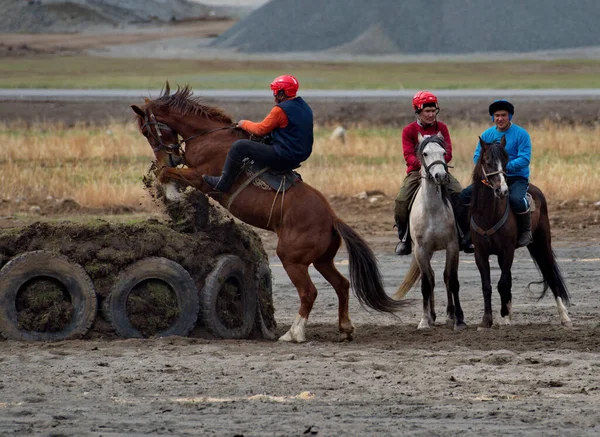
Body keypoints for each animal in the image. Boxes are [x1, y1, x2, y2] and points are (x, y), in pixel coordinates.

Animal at [129, 84, 406, 340]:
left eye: (146, 131)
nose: (169, 157)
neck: (209, 136)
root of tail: (332, 218)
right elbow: (167, 174)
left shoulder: (202, 178)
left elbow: (165, 174)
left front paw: (172, 194)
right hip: (322, 260)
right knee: (342, 285)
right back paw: (345, 329)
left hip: (292, 259)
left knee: (309, 292)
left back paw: (294, 333)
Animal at [468, 136, 572, 328]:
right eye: (487, 162)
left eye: (506, 162)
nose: (502, 190)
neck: (489, 215)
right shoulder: (480, 253)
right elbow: (487, 286)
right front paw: (487, 320)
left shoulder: (507, 250)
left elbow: (501, 283)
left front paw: (503, 315)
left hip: (542, 243)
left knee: (550, 274)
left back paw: (564, 317)